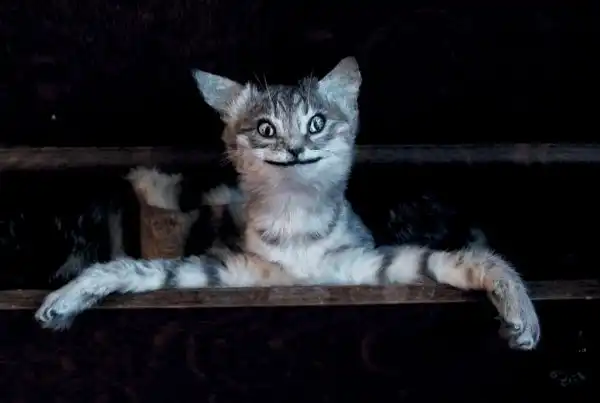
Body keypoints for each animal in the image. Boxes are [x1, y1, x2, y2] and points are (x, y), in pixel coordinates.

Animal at [34, 57, 540, 350]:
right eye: (265, 128)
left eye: (316, 123)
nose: (295, 148)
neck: (296, 224)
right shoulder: (229, 272)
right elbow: (142, 271)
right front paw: (72, 295)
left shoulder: (366, 266)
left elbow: (464, 260)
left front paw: (517, 307)